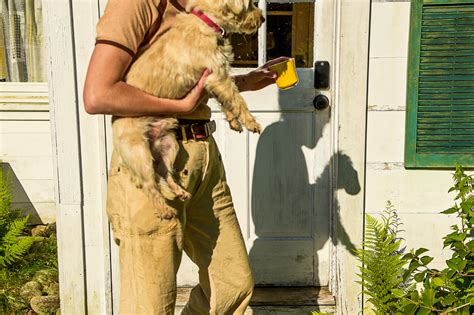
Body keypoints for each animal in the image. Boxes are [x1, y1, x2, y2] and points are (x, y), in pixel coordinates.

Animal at [111, 0, 262, 220]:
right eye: (251, 4)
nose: (263, 18)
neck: (208, 22)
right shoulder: (217, 76)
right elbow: (237, 99)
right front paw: (251, 122)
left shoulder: (213, 81)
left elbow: (225, 102)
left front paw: (234, 121)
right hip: (139, 154)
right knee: (150, 184)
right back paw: (164, 210)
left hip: (169, 145)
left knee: (163, 174)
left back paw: (179, 191)